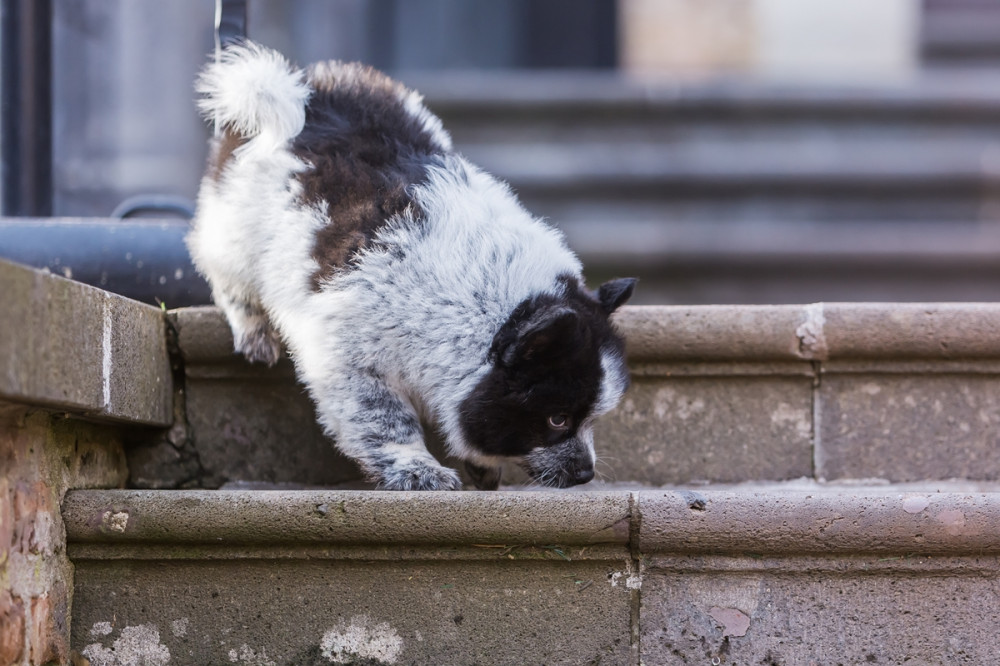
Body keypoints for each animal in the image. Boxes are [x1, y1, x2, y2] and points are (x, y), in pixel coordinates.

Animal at [191, 41, 636, 488]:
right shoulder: (352, 362)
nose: (585, 473)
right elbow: (385, 420)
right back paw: (254, 330)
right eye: (557, 419)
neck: (477, 302)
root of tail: (308, 91)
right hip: (234, 228)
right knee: (224, 269)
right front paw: (417, 468)